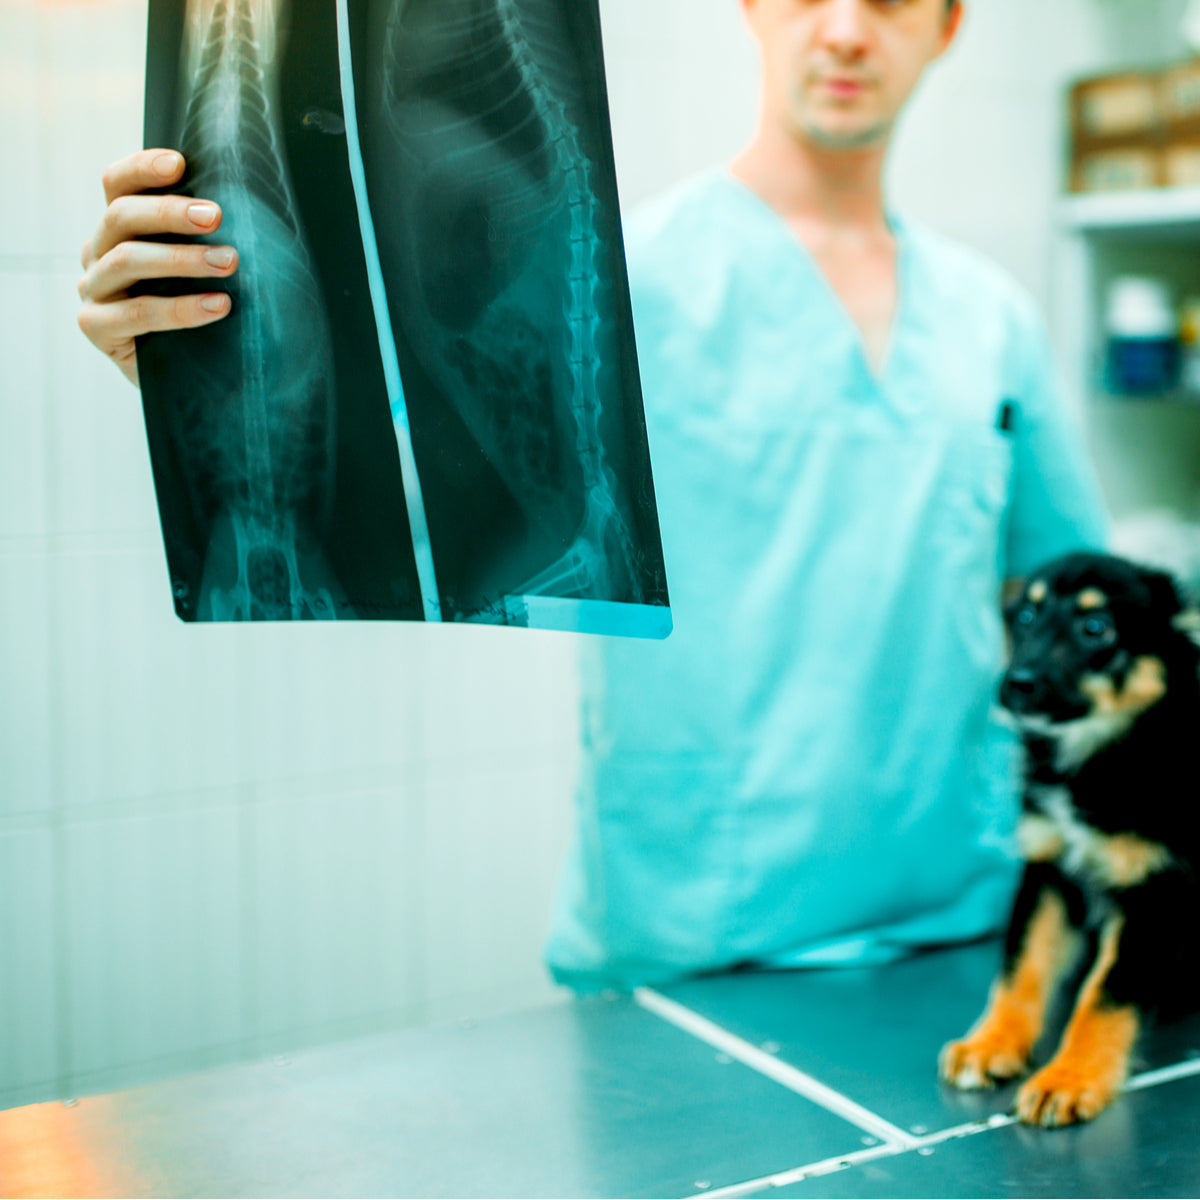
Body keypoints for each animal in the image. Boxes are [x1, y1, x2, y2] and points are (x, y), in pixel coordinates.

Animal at [940, 552, 1195, 1123]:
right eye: (1025, 617)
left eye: (1095, 627)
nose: (1017, 683)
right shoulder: (1049, 869)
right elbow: (1019, 968)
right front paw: (991, 1043)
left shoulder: (1154, 892)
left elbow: (1104, 997)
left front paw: (1072, 1077)